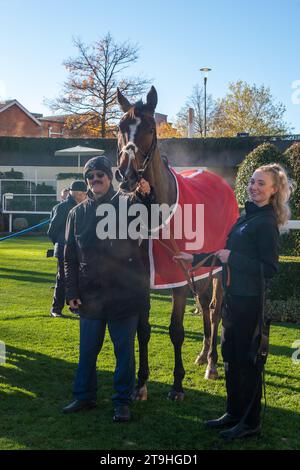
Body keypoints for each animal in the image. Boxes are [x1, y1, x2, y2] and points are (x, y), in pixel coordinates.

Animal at [116, 85, 236, 400]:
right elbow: (143, 330)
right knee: (205, 306)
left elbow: (176, 330)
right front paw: (141, 383)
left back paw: (212, 364)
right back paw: (204, 354)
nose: (126, 174)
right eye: (119, 127)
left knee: (215, 310)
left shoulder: (178, 280)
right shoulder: (142, 279)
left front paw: (178, 385)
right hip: (201, 270)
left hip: (218, 269)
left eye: (149, 127)